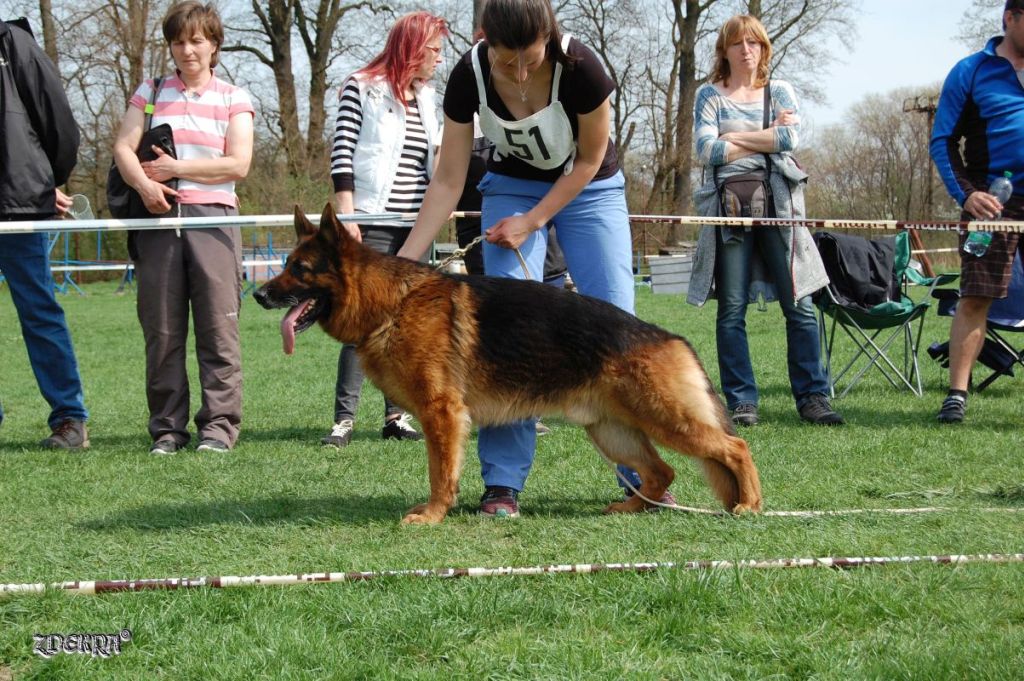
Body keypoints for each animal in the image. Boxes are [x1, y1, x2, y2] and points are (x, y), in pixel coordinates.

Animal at [254, 204, 761, 522]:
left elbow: (441, 474)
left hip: (665, 419)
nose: (258, 294)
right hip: (612, 431)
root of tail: (672, 338)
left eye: (300, 270)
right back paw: (632, 508)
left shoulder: (443, 415)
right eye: (285, 265)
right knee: (661, 472)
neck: (391, 304)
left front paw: (433, 515)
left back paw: (750, 505)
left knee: (735, 448)